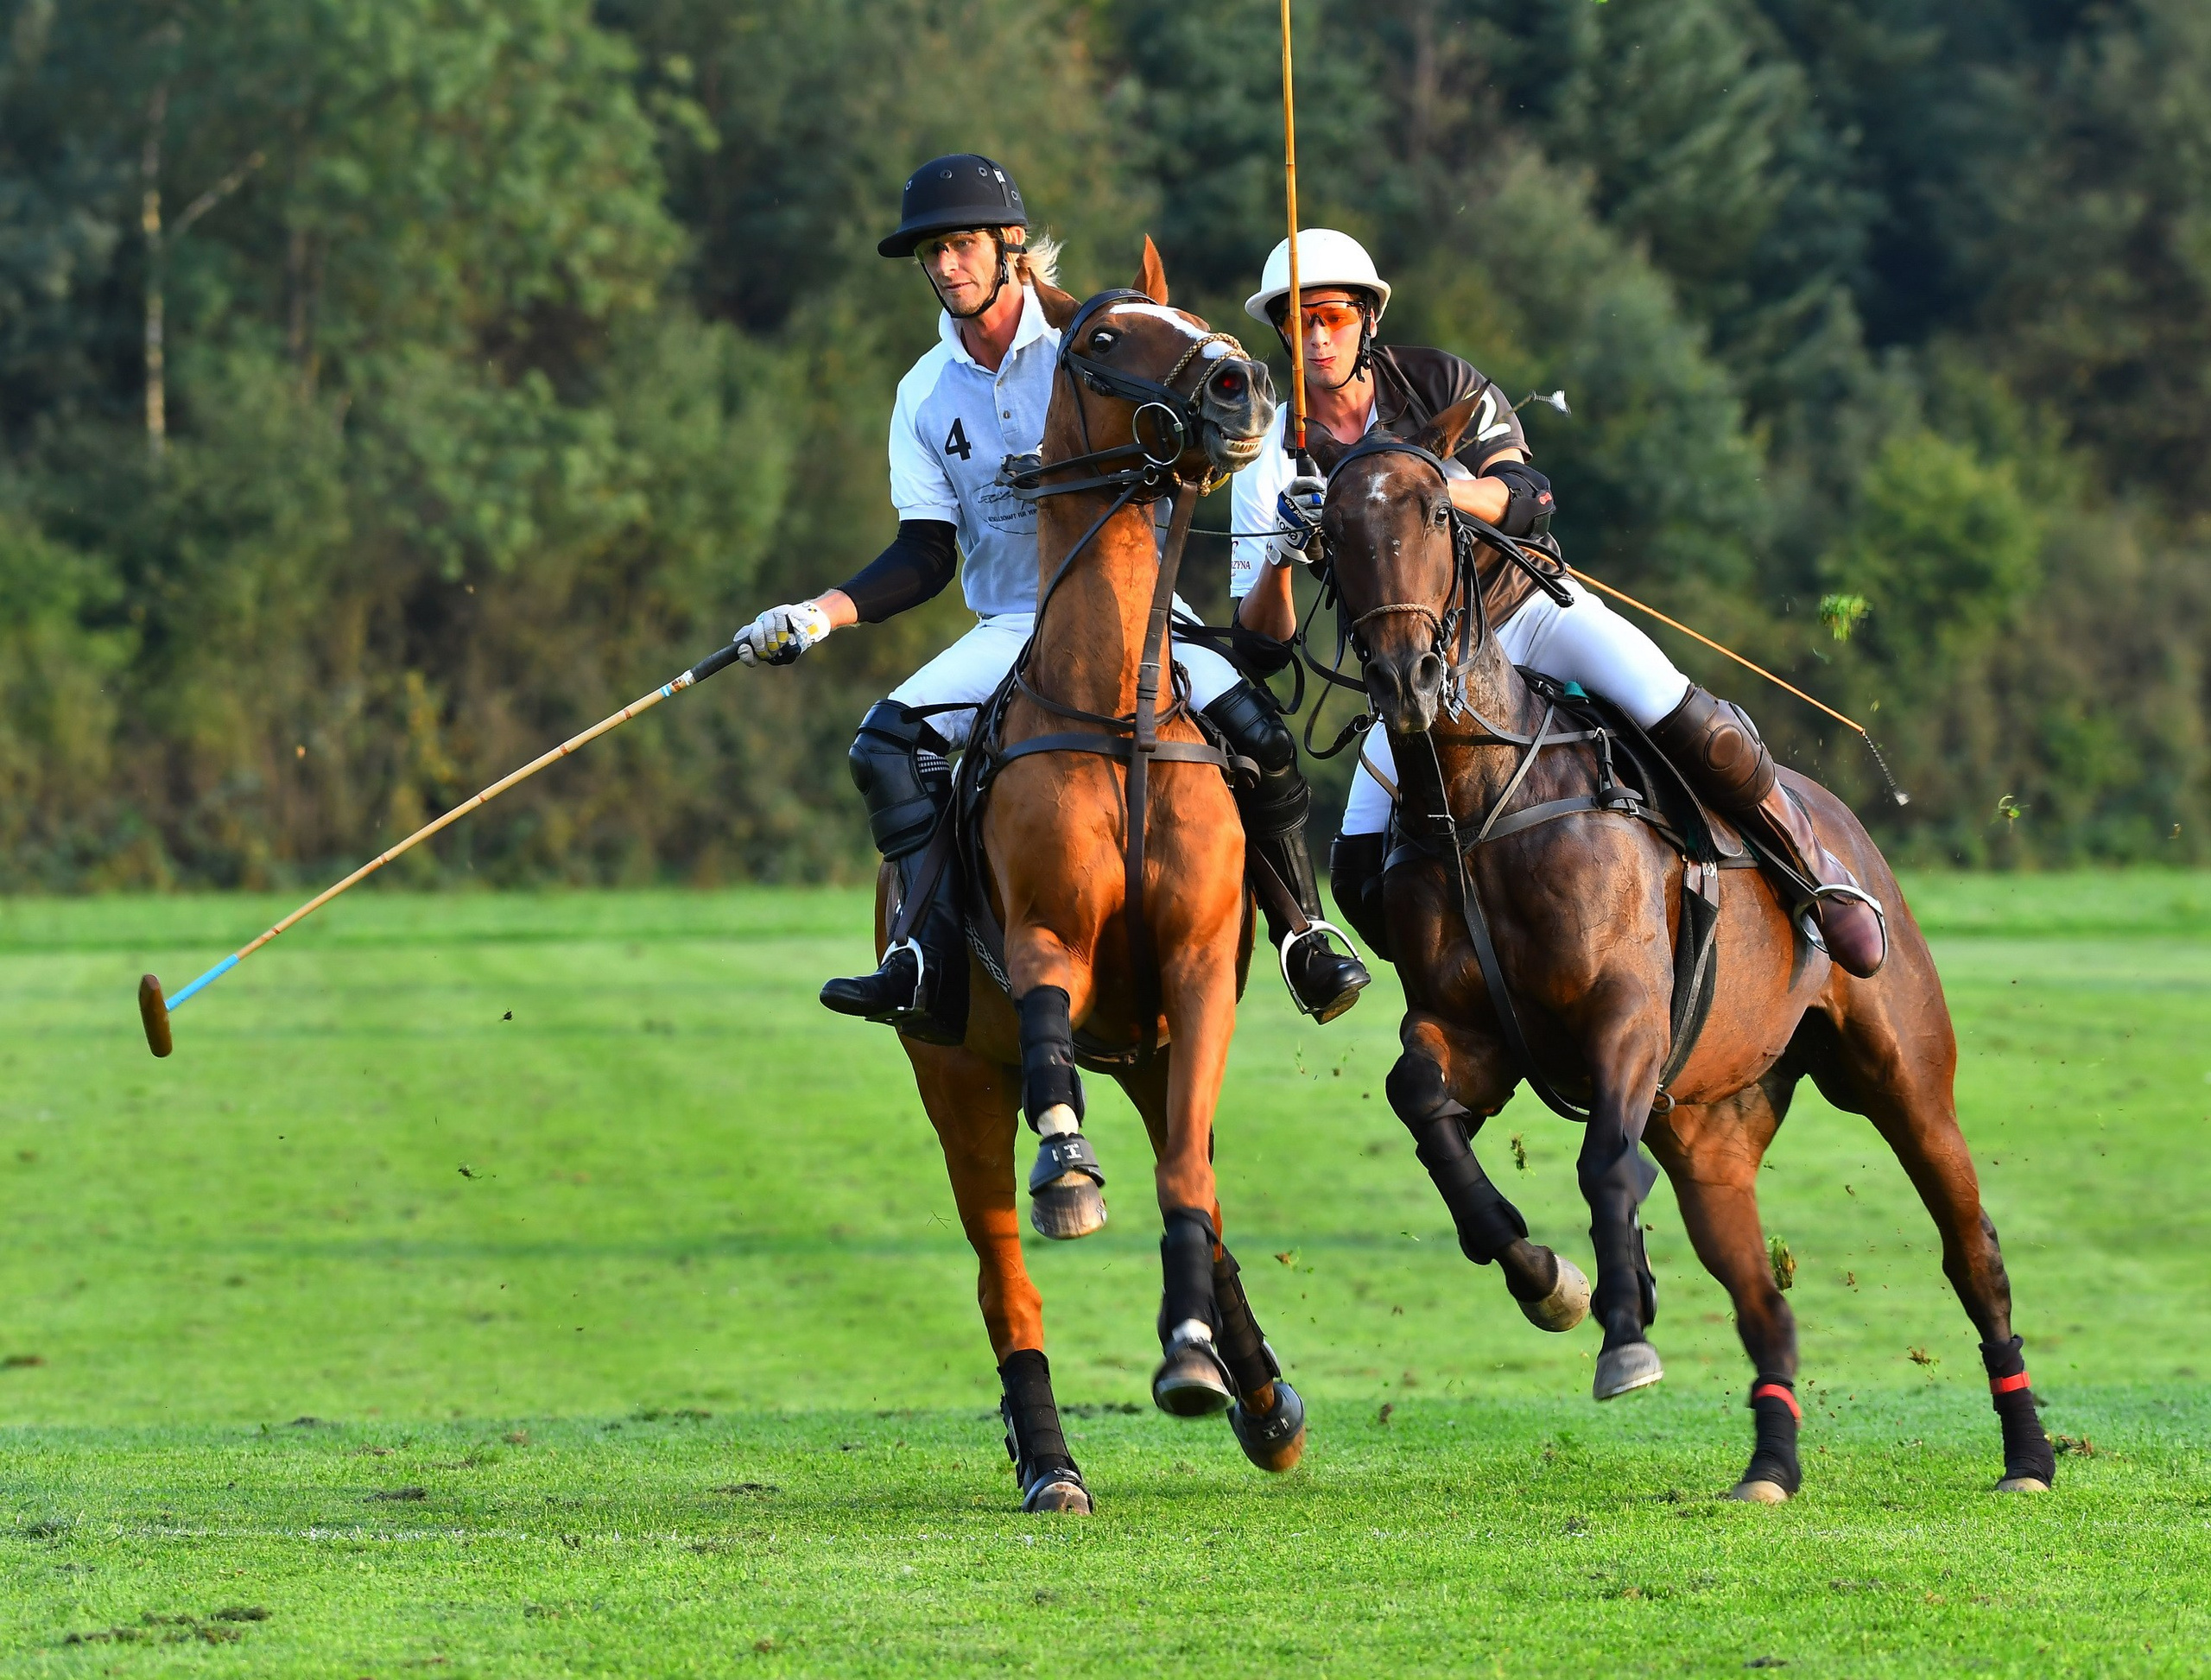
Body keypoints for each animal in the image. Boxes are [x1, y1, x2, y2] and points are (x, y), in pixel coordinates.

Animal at [879, 241, 1306, 1514]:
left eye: (1198, 315)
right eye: (1107, 340)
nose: (1242, 391)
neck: (1118, 713)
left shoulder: (1198, 972)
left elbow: (1187, 1186)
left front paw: (1199, 1359)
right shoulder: (1043, 944)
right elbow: (1048, 1049)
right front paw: (1068, 1167)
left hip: (1153, 1052)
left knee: (1193, 1176)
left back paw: (1257, 1389)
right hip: (950, 1073)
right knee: (999, 1266)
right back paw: (1049, 1457)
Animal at [1303, 398, 2057, 1502]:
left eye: (1438, 511)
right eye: (1328, 534)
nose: (1407, 677)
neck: (1482, 803)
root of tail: (1850, 828)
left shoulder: (1623, 1010)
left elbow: (1603, 1168)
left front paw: (1623, 1334)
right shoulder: (1465, 1031)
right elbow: (1425, 1111)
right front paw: (1547, 1279)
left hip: (1905, 1074)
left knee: (1973, 1250)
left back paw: (2028, 1454)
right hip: (1711, 1129)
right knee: (1762, 1300)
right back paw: (1770, 1465)